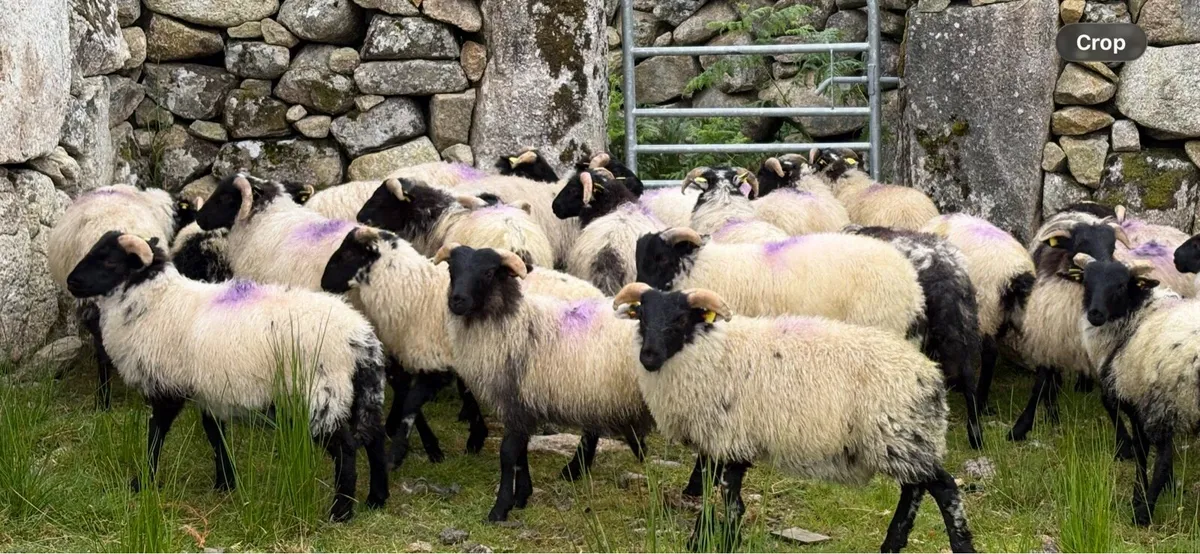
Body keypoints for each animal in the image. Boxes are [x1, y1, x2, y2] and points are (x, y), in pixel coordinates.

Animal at [65, 231, 388, 522]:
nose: (71, 282)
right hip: (357, 394)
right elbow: (215, 435)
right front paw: (225, 483)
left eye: (109, 261)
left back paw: (341, 512)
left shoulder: (168, 387)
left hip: (321, 395)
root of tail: (360, 339)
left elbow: (156, 432)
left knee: (346, 450)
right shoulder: (210, 392)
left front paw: (143, 481)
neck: (159, 303)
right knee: (375, 438)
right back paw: (376, 499)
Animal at [322, 229, 602, 470]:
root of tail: (599, 295)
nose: (324, 283)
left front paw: (400, 454)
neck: (414, 292)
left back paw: (576, 469)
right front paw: (472, 438)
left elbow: (411, 403)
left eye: (348, 254)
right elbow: (456, 394)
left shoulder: (437, 360)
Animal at [440, 244, 653, 522]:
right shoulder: (522, 406)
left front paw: (500, 508)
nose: (457, 300)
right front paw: (522, 496)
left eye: (488, 272)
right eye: (451, 269)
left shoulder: (518, 402)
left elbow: (508, 454)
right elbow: (520, 453)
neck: (514, 327)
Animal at [612, 283, 975, 553]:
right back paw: (891, 544)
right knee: (914, 489)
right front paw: (702, 540)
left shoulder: (732, 438)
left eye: (679, 321)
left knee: (944, 489)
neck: (710, 352)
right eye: (641, 318)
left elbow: (729, 499)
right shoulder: (717, 441)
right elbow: (712, 489)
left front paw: (724, 540)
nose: (648, 357)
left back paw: (960, 546)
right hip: (905, 440)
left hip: (899, 434)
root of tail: (930, 375)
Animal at [1071, 253, 1195, 525]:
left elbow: (1142, 453)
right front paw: (1168, 488)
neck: (1138, 313)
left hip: (1165, 400)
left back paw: (1143, 514)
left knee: (1163, 458)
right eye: (1086, 282)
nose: (1095, 314)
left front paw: (1139, 496)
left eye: (1120, 285)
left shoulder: (1139, 402)